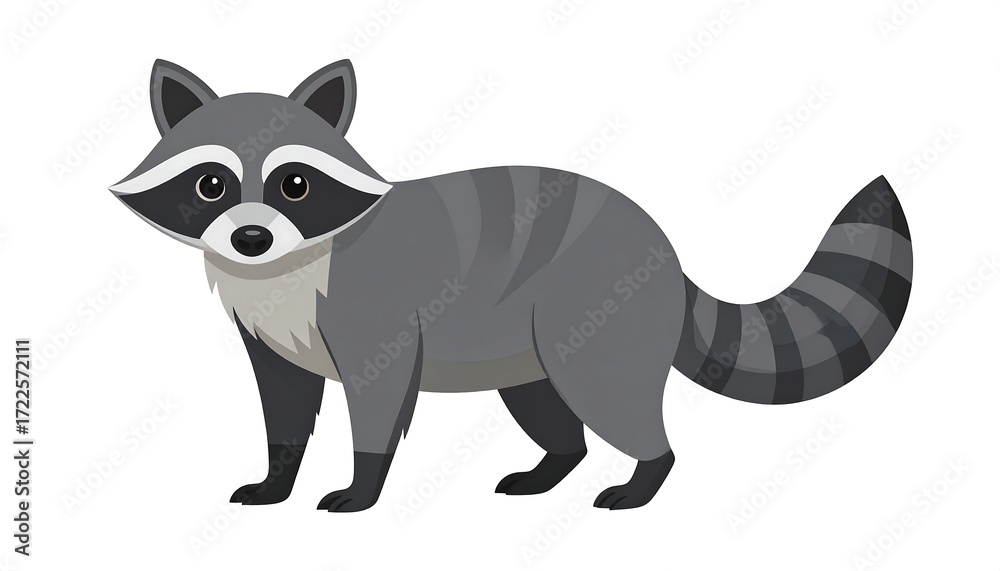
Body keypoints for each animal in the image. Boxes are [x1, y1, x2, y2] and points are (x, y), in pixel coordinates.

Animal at [111, 59, 913, 511]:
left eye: (295, 185)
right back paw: (553, 466)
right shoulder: (270, 325)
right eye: (210, 184)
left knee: (610, 397)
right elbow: (283, 402)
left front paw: (363, 487)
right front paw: (278, 478)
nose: (250, 238)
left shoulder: (371, 309)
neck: (284, 265)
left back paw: (644, 476)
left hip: (594, 309)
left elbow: (378, 398)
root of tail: (664, 251)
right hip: (528, 337)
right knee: (548, 407)